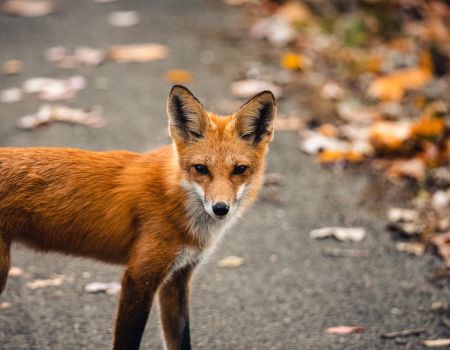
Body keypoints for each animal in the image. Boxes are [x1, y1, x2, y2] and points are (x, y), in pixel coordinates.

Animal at [0, 85, 276, 350]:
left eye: (239, 170)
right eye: (201, 169)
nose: (220, 208)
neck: (174, 195)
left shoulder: (178, 278)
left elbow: (180, 341)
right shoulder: (139, 277)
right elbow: (128, 342)